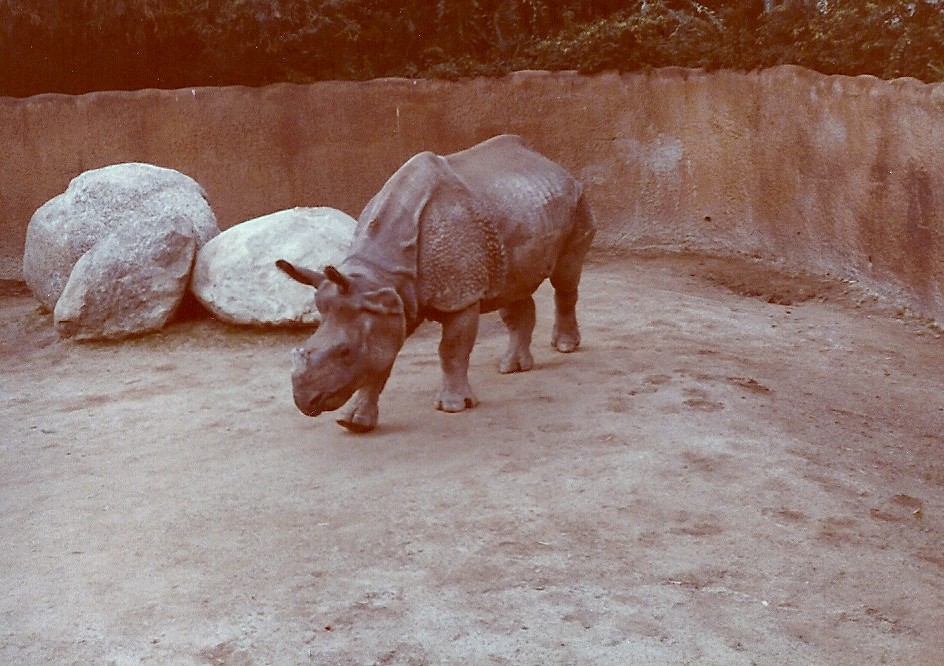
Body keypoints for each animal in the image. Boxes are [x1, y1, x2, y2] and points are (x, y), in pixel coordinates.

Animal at [276, 134, 595, 433]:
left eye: (344, 352)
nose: (305, 402)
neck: (379, 276)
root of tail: (550, 162)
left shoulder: (460, 297)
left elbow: (451, 351)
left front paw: (454, 407)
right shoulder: (385, 306)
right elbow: (377, 362)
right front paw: (354, 422)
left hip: (577, 200)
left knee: (565, 279)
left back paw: (564, 346)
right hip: (522, 206)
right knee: (513, 289)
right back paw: (511, 368)